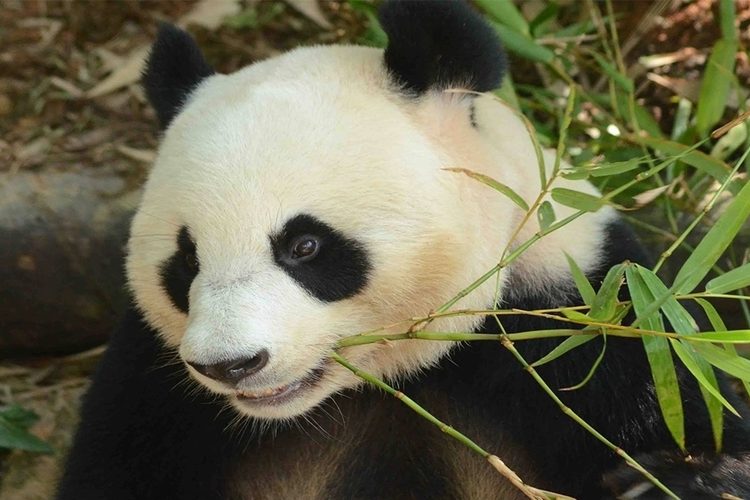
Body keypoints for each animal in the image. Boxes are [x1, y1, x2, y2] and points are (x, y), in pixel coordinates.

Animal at [58, 1, 750, 499]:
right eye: (186, 262)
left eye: (304, 245)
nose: (231, 364)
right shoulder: (155, 388)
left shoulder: (591, 310)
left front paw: (670, 479)